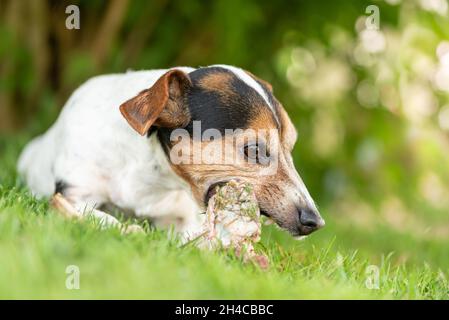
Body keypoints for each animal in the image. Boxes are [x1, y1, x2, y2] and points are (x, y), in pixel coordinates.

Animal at [17, 65, 324, 239]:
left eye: (291, 147)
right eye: (254, 149)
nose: (315, 222)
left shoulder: (183, 219)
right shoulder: (73, 194)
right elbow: (99, 216)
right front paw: (126, 229)